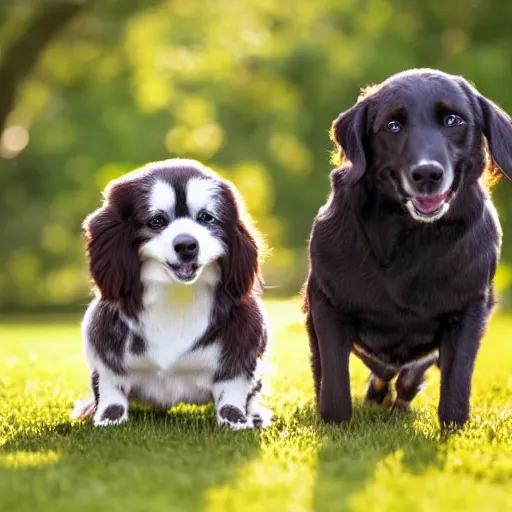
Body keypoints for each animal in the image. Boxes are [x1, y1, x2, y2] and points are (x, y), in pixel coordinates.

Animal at [73, 157, 272, 428]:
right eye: (157, 221)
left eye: (206, 217)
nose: (187, 245)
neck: (176, 295)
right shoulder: (104, 350)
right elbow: (111, 390)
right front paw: (108, 418)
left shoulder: (242, 347)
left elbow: (232, 392)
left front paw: (236, 421)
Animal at [304, 68, 512, 428]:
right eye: (393, 126)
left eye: (453, 120)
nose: (427, 173)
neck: (411, 235)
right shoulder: (324, 304)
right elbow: (333, 386)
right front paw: (334, 424)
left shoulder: (469, 309)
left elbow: (455, 386)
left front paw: (452, 430)